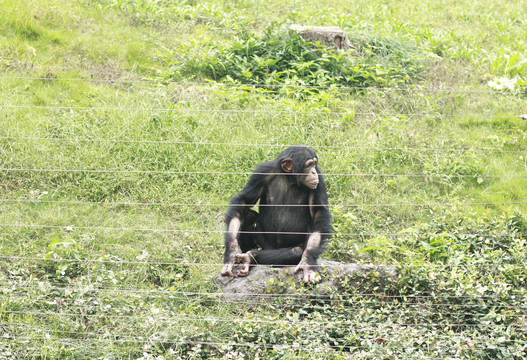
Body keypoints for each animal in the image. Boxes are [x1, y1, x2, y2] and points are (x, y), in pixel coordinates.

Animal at [221, 145, 332, 282]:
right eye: (309, 165)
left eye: (314, 165)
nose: (313, 172)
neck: (289, 178)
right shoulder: (262, 173)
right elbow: (243, 202)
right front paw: (231, 254)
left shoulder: (319, 179)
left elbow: (318, 213)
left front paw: (308, 263)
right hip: (266, 245)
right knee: (248, 216)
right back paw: (247, 258)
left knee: (296, 251)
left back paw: (251, 257)